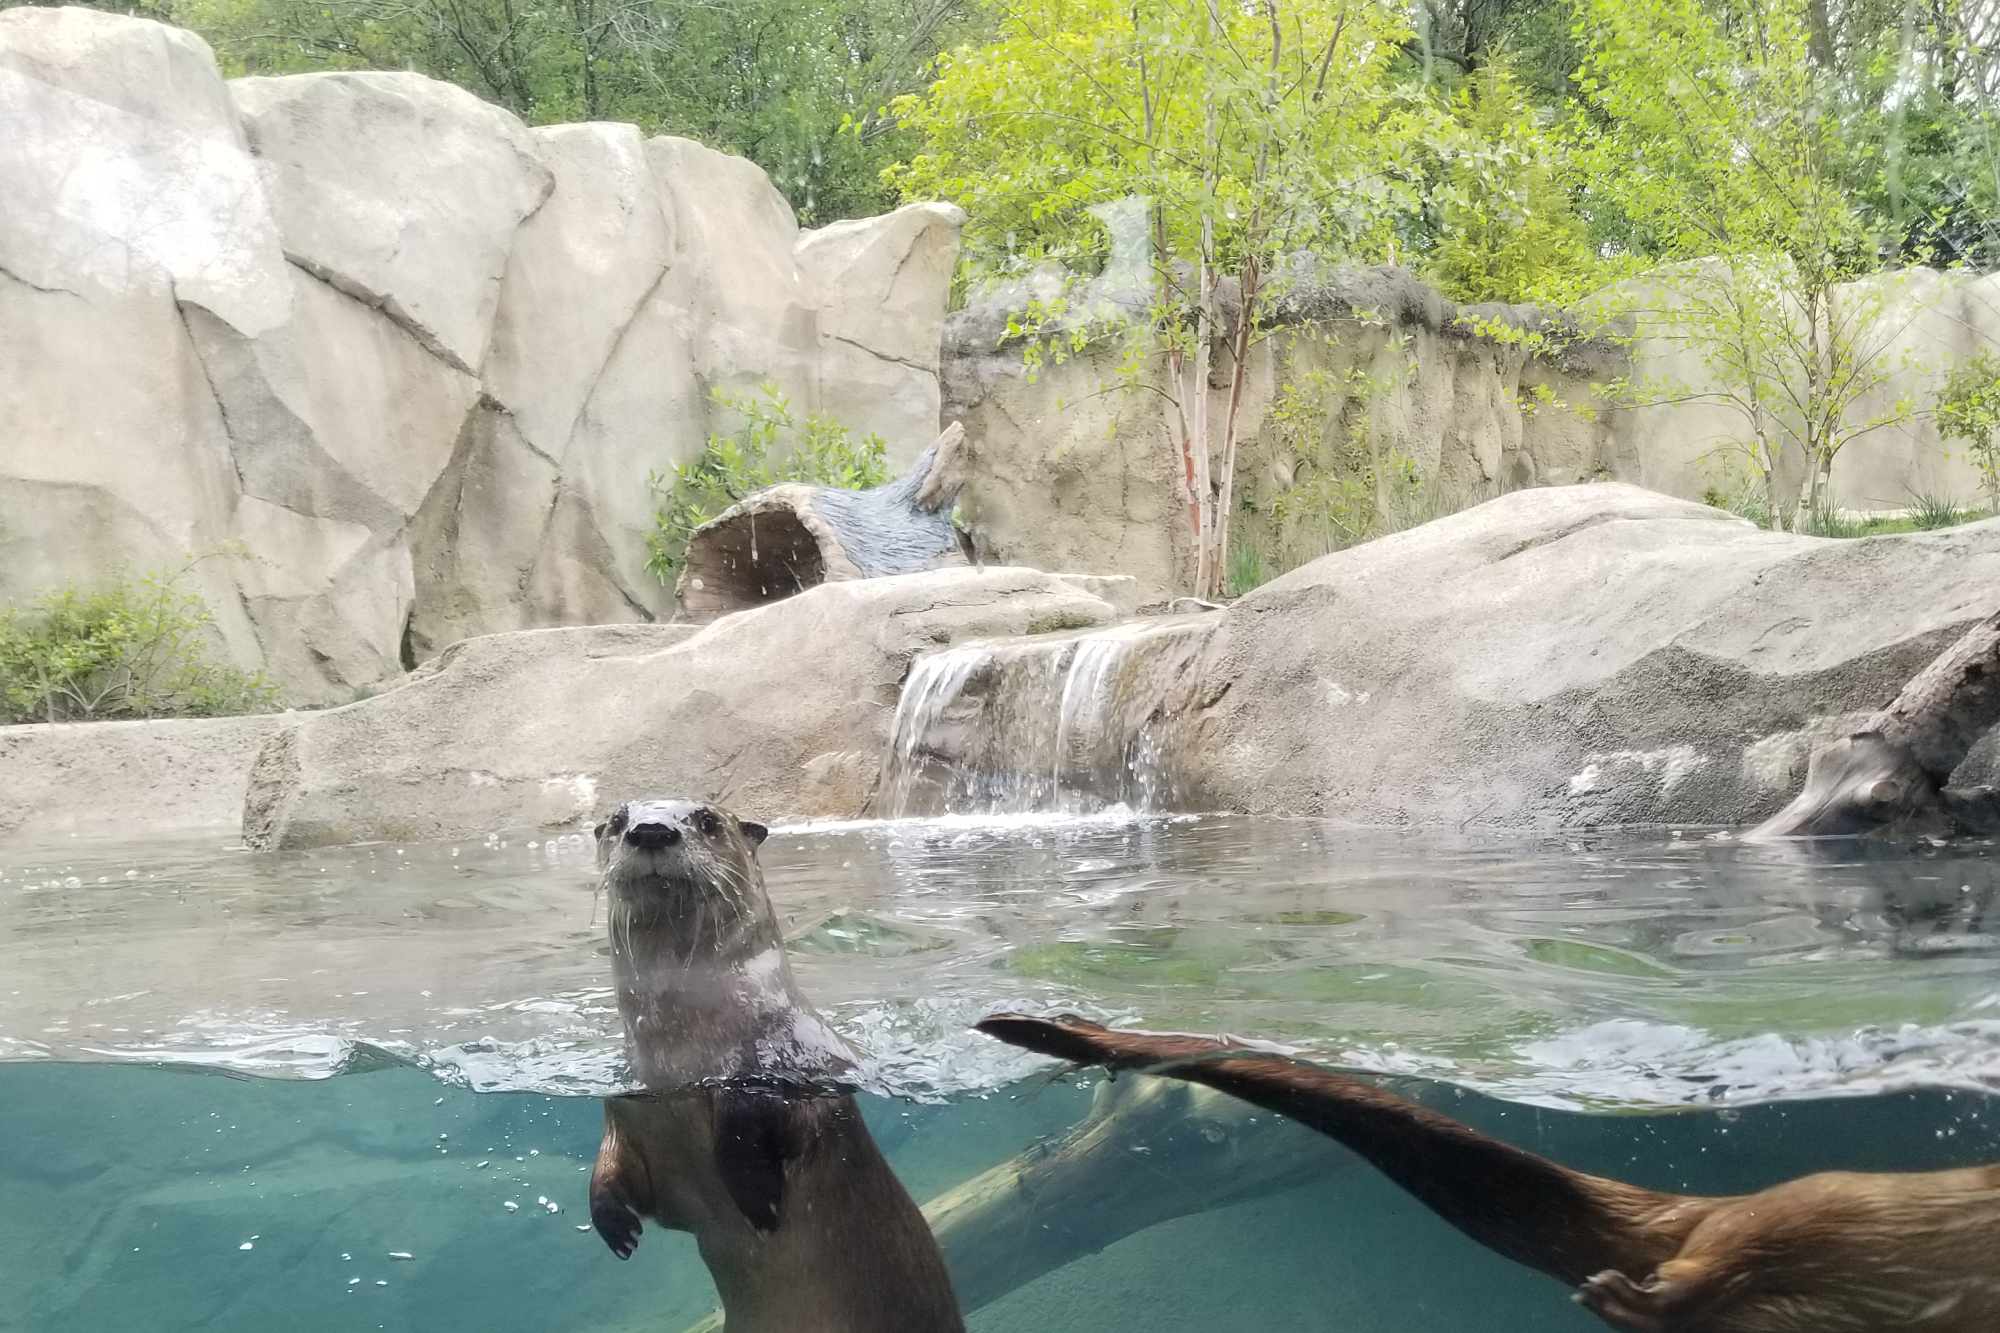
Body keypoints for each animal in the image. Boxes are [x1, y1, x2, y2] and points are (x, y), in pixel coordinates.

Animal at [588, 800, 964, 1328]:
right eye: (619, 818)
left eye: (707, 819)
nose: (651, 830)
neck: (682, 1060)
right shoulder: (629, 1110)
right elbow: (612, 1166)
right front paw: (614, 1223)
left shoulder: (790, 1068)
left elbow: (757, 1122)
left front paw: (755, 1196)